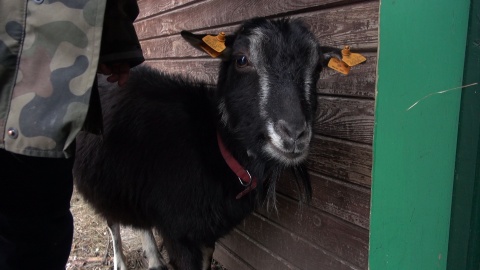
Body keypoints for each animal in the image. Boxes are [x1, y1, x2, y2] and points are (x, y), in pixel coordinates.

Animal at [73, 17, 344, 268]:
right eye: (241, 60)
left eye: (318, 67)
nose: (294, 134)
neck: (213, 148)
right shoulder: (178, 234)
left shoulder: (205, 234)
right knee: (112, 221)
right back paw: (120, 261)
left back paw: (155, 260)